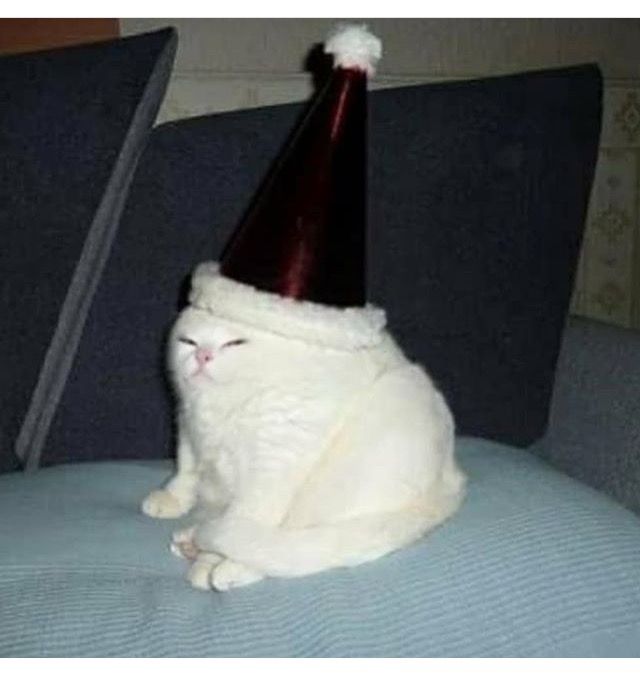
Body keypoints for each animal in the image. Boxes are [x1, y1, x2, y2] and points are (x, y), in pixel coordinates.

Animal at [144, 262, 464, 588]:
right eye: (188, 342)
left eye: (235, 343)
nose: (202, 355)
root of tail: (450, 482)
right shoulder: (187, 425)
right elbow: (186, 471)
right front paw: (172, 498)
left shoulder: (274, 463)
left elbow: (248, 515)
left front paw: (214, 562)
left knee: (284, 545)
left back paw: (219, 563)